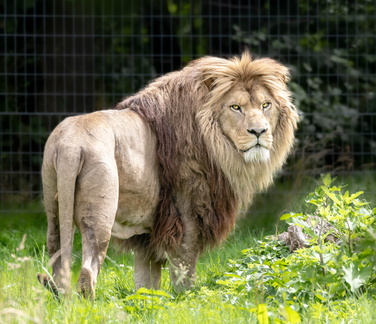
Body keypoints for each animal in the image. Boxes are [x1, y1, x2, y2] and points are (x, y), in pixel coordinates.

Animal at [36, 52, 298, 298]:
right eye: (235, 107)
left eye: (265, 105)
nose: (259, 131)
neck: (215, 144)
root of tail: (71, 145)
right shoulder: (188, 217)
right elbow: (184, 274)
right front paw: (185, 300)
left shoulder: (147, 235)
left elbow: (146, 283)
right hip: (100, 214)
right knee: (88, 271)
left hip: (53, 208)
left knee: (56, 255)